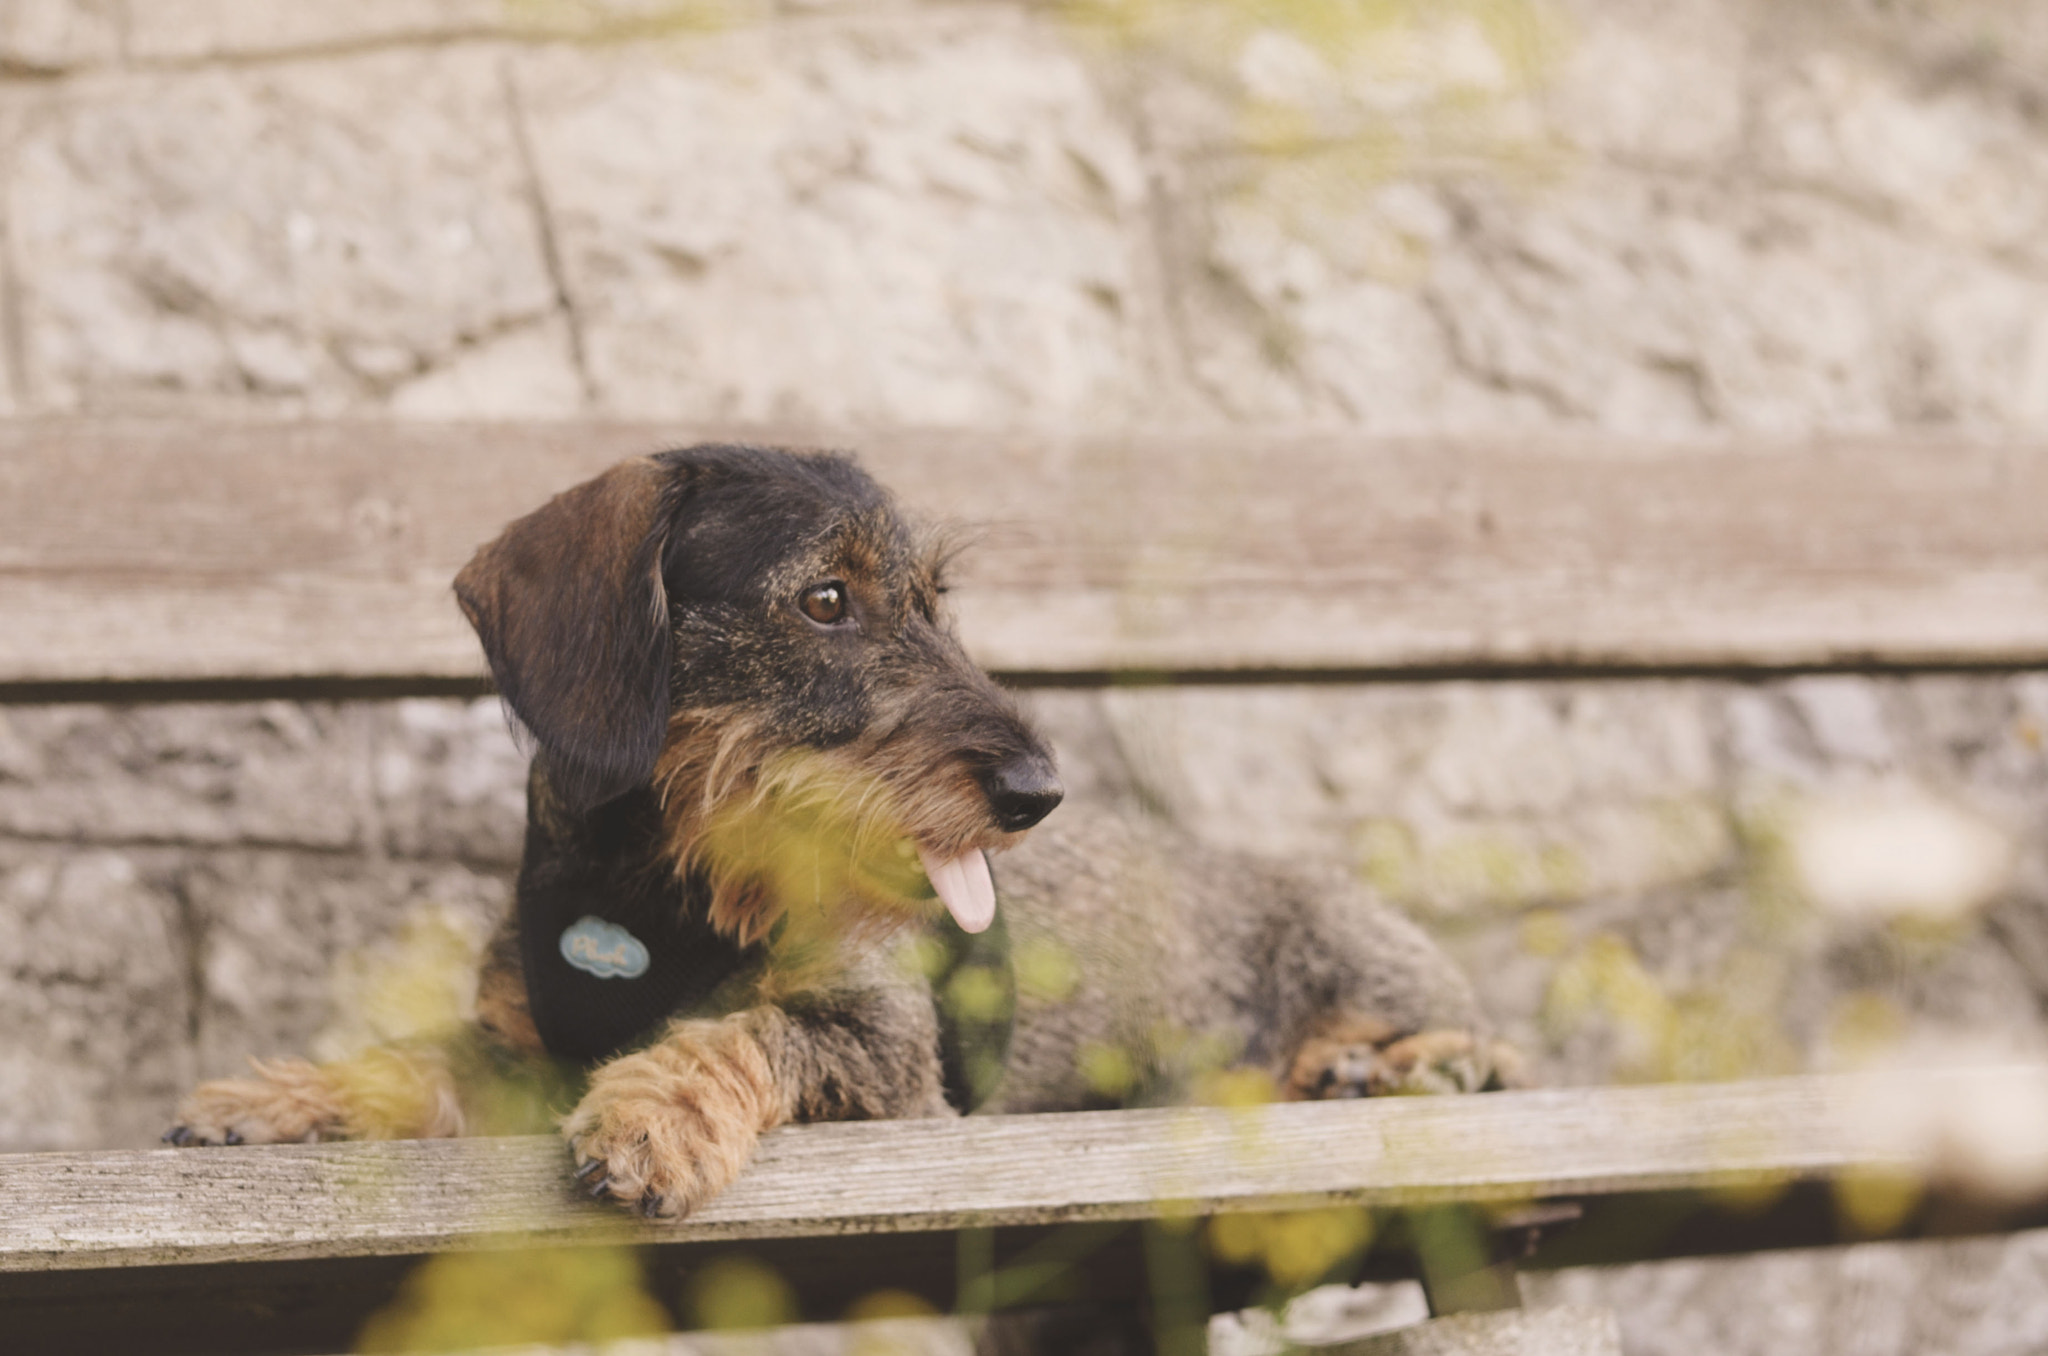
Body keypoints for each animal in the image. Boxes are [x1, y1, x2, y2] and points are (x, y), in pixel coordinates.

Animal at [163, 444, 1507, 1220]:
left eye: (933, 602)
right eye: (824, 599)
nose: (1038, 791)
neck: (660, 897)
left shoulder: (894, 1062)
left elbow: (760, 1030)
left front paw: (654, 1112)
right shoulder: (515, 1041)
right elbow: (421, 1057)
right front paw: (284, 1096)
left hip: (1358, 951)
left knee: (1487, 1038)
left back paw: (1401, 1066)